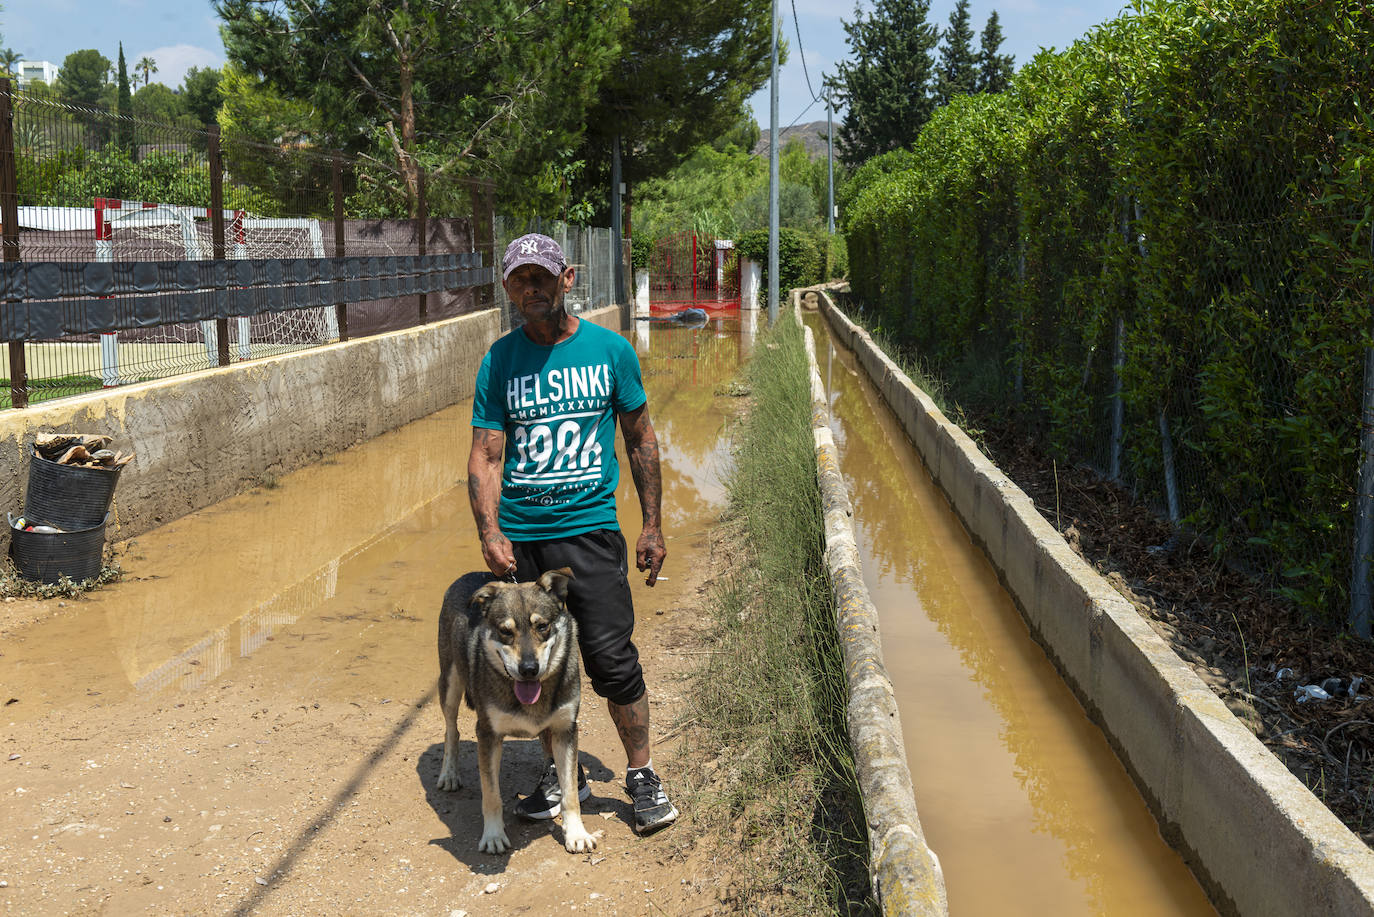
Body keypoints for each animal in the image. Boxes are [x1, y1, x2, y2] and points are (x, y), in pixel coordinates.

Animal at [434, 566, 596, 852]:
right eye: (505, 631)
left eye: (542, 626)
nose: (529, 669)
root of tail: (469, 573)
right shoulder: (488, 734)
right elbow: (491, 795)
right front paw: (493, 836)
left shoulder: (565, 731)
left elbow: (570, 793)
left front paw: (576, 833)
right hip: (450, 682)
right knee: (451, 730)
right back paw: (449, 773)